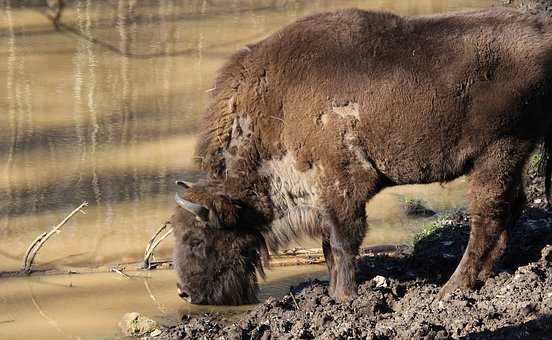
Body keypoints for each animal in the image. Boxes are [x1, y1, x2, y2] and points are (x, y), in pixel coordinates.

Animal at [170, 7, 552, 306]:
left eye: (196, 238)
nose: (184, 293)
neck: (274, 106)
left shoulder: (342, 184)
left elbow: (342, 243)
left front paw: (343, 296)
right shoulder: (323, 195)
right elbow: (329, 245)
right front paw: (334, 292)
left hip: (498, 150)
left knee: (487, 217)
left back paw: (450, 289)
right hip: (508, 156)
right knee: (510, 208)